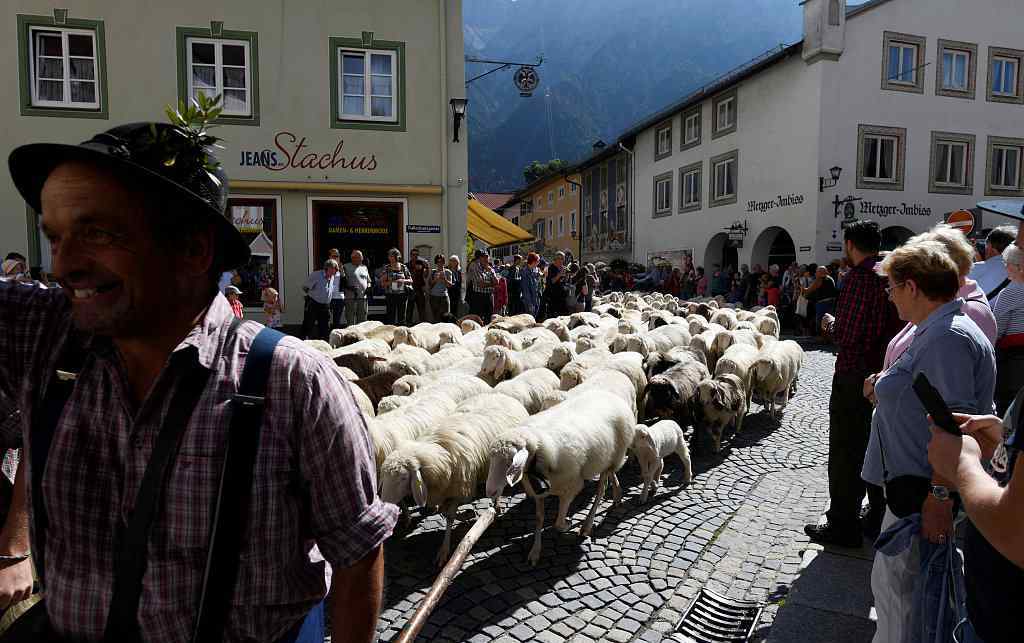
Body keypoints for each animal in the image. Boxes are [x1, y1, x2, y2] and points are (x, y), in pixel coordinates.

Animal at [380, 395, 532, 565]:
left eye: (403, 477)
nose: (383, 502)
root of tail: (502, 395)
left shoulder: (459, 490)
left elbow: (449, 517)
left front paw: (444, 550)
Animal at [483, 391, 634, 561]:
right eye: (491, 459)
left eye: (510, 461)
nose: (490, 492)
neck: (538, 451)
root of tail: (610, 395)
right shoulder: (538, 491)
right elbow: (539, 519)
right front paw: (535, 551)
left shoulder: (571, 486)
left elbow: (558, 523)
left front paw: (567, 524)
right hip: (606, 461)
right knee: (611, 476)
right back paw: (617, 495)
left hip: (613, 457)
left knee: (600, 490)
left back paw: (587, 525)